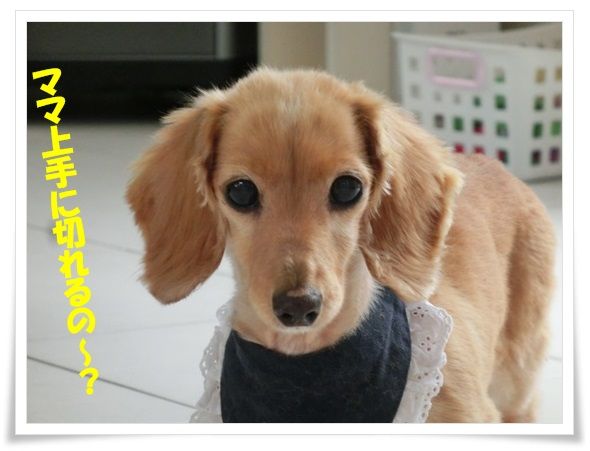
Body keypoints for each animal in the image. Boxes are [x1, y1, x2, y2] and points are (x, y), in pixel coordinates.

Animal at [126, 67, 555, 423]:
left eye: (348, 188)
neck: (307, 371)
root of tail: (497, 166)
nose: (299, 306)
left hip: (515, 374)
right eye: (241, 192)